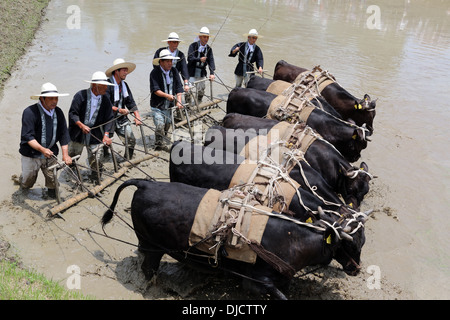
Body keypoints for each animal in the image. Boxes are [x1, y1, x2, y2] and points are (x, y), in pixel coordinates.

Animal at [103, 180, 368, 300]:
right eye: (350, 244)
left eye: (362, 242)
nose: (356, 269)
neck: (294, 240)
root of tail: (146, 183)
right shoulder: (258, 282)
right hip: (153, 247)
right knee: (148, 268)